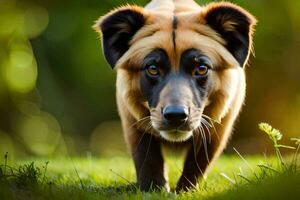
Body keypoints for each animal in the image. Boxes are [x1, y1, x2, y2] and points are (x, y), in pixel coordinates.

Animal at [94, 0, 255, 191]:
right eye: (152, 68)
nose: (176, 115)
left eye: (202, 68)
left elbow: (198, 163)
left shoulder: (217, 130)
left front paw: (185, 190)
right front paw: (154, 188)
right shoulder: (133, 123)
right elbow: (147, 158)